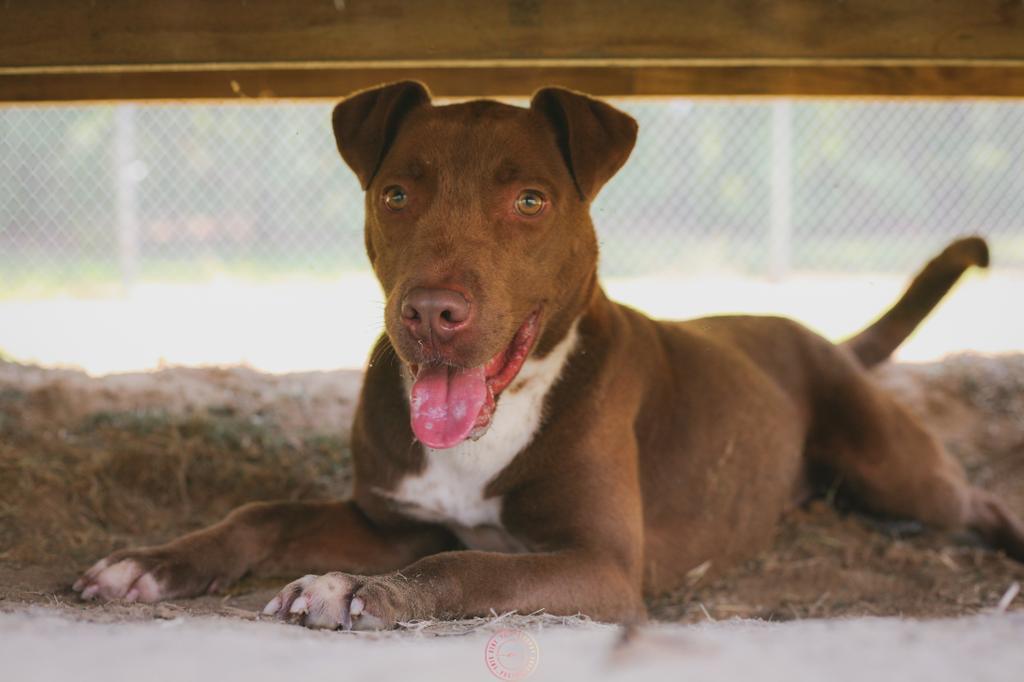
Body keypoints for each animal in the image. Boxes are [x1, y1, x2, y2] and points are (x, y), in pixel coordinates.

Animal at [72, 83, 1024, 626]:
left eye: (529, 200)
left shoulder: (600, 565)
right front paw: (150, 564)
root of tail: (823, 338)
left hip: (899, 469)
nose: (431, 312)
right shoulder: (391, 520)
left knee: (976, 499)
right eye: (396, 194)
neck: (501, 413)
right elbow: (261, 514)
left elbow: (464, 563)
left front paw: (355, 592)